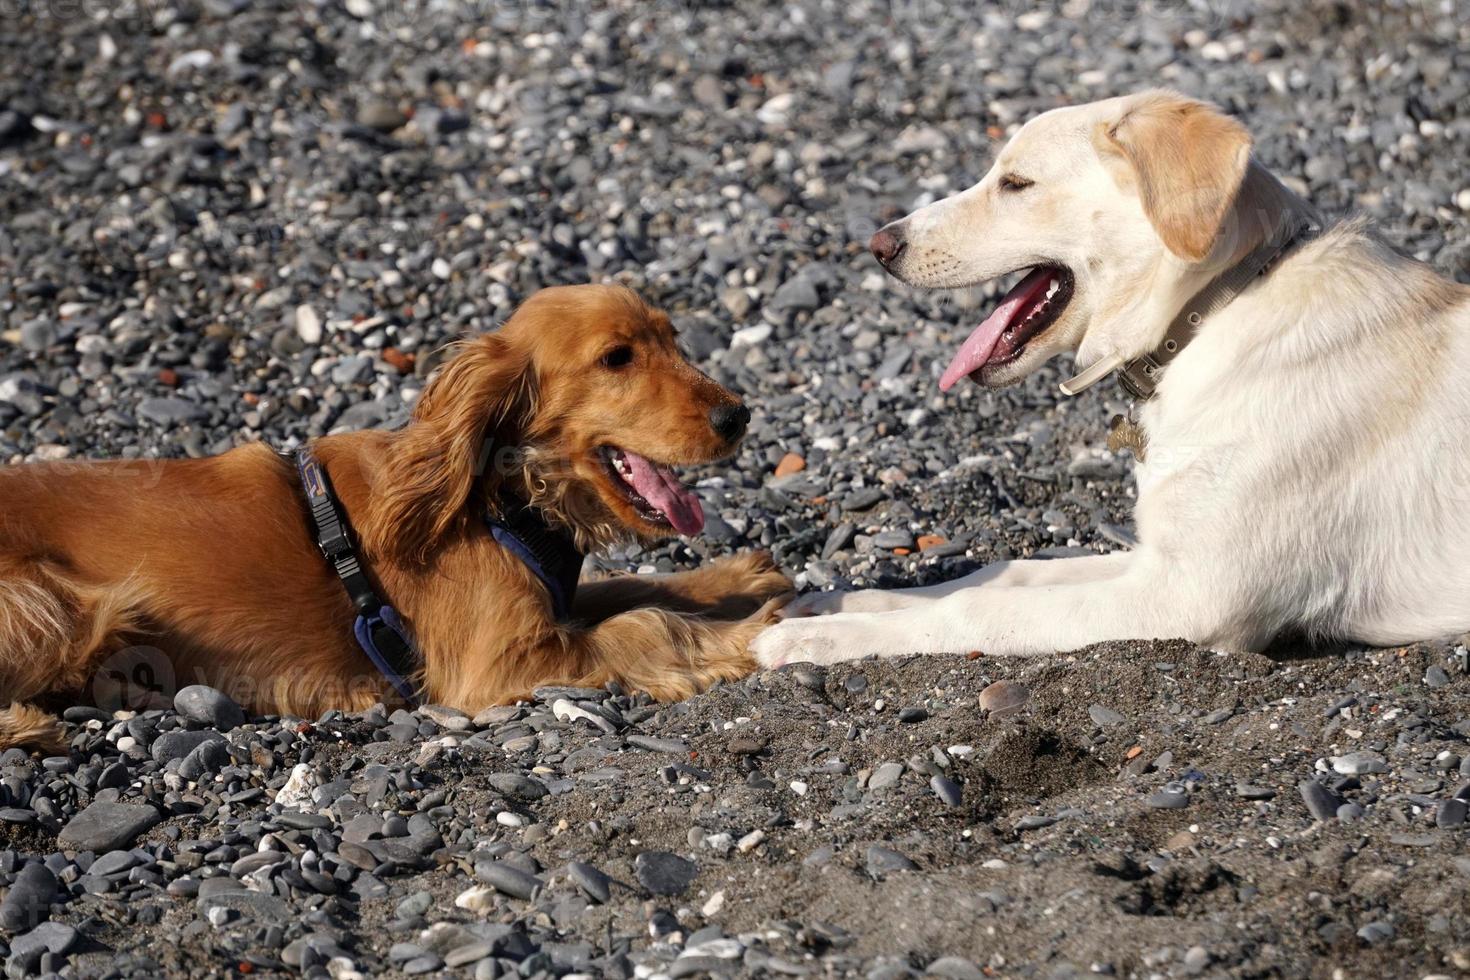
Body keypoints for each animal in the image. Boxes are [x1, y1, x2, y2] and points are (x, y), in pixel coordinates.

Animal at [0, 283, 793, 752]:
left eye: (672, 339)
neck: (499, 495)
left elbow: (631, 587)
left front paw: (734, 578)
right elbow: (643, 624)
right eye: (617, 358)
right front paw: (751, 634)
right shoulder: (497, 664)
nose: (739, 416)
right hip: (59, 604)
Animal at [758, 89, 1470, 667]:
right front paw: (848, 603)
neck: (1217, 308)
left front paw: (819, 640)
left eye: (1016, 183)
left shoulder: (1188, 596)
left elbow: (977, 610)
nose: (880, 244)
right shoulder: (1156, 559)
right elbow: (1006, 572)